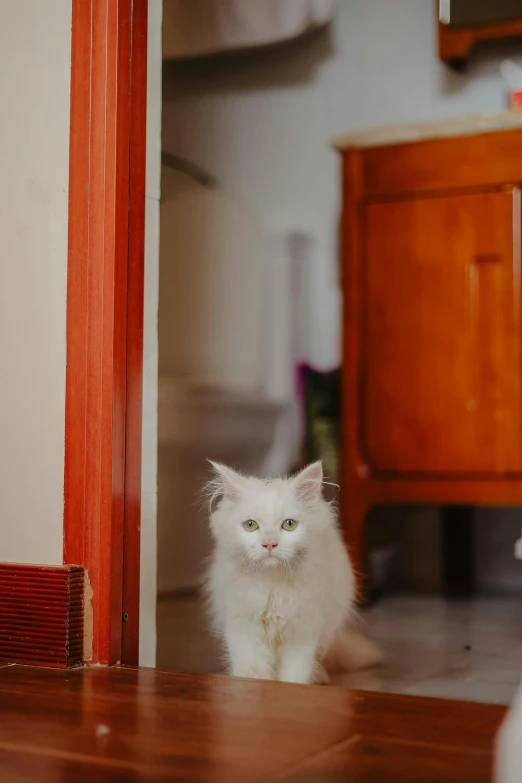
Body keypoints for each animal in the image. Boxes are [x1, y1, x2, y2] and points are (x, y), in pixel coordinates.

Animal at [202, 462, 378, 684]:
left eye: (289, 524)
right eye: (250, 525)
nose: (269, 544)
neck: (272, 585)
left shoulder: (302, 629)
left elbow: (294, 674)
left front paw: (292, 687)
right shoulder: (243, 625)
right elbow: (252, 669)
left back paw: (319, 676)